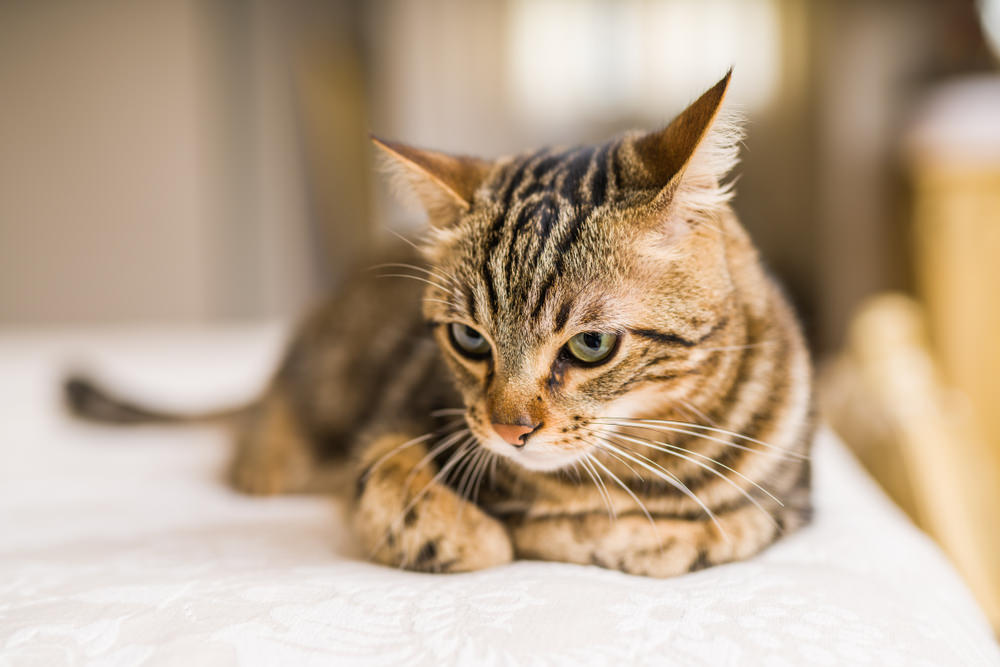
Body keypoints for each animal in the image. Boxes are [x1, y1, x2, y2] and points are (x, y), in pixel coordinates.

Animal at [62, 70, 816, 576]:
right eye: (469, 339)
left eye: (592, 345)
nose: (511, 429)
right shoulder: (391, 430)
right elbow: (415, 496)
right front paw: (477, 530)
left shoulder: (793, 500)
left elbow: (725, 525)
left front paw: (635, 533)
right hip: (284, 449)